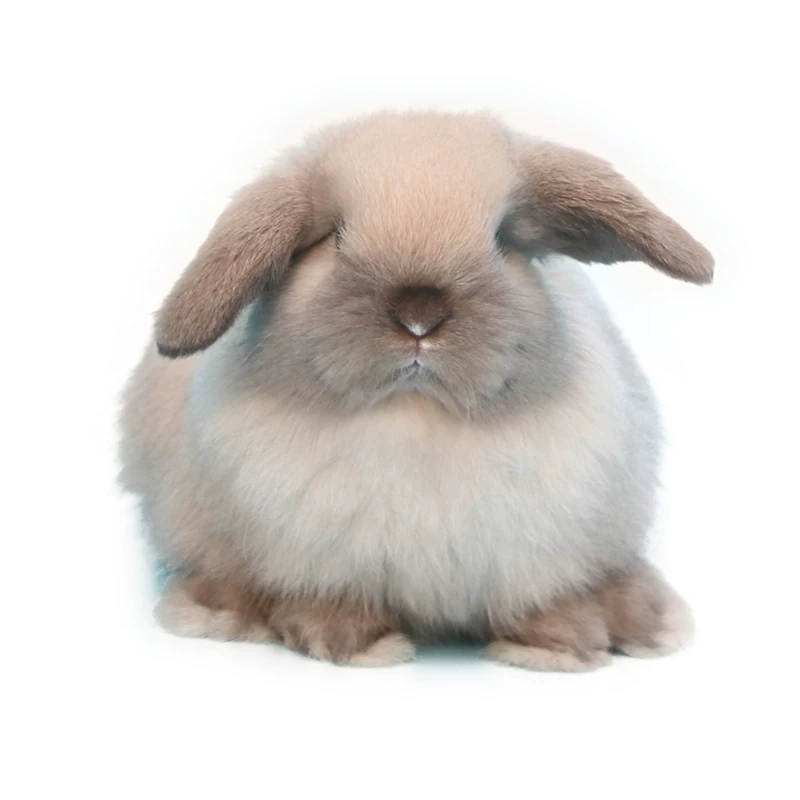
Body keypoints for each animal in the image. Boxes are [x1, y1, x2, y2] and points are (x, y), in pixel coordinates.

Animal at [118, 110, 713, 671]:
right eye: (335, 238)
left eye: (503, 239)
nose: (419, 315)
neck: (416, 418)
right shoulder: (326, 561)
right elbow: (328, 601)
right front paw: (353, 643)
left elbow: (543, 601)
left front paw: (562, 648)